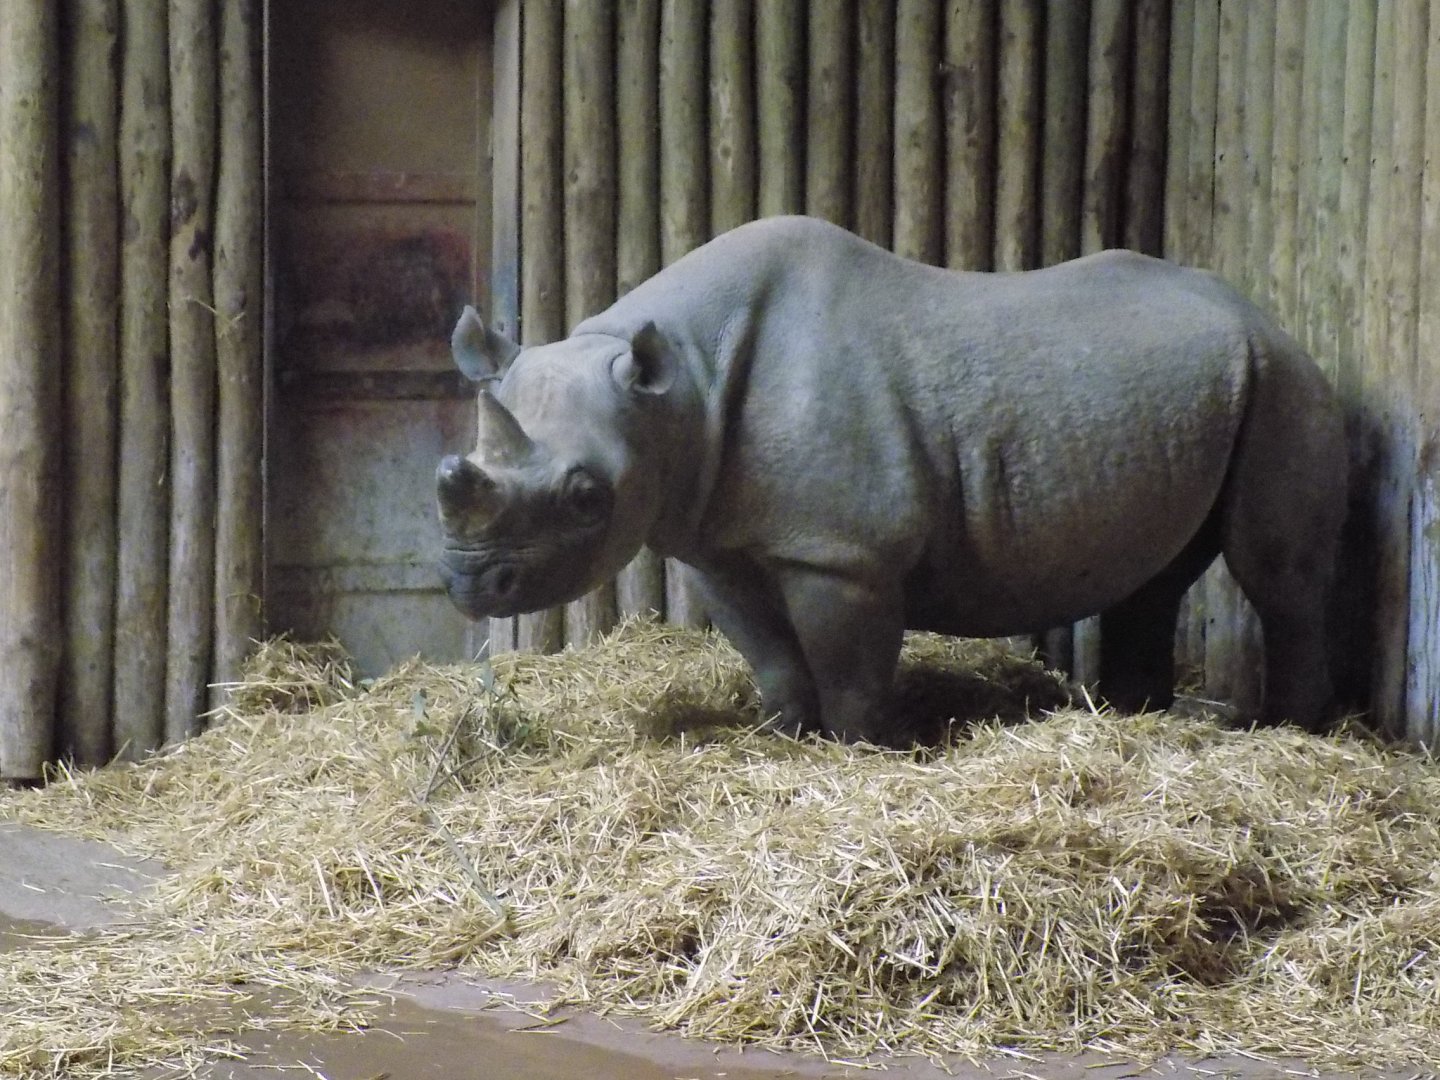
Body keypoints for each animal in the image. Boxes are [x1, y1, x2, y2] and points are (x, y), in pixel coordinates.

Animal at [436, 215, 1347, 743]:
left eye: (587, 498)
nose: (470, 584)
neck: (677, 389)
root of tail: (1261, 314)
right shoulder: (716, 539)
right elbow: (768, 652)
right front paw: (783, 736)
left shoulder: (843, 553)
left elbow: (851, 665)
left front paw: (872, 748)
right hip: (1208, 386)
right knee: (1156, 576)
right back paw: (1137, 715)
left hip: (1284, 382)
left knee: (1276, 575)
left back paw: (1292, 732)